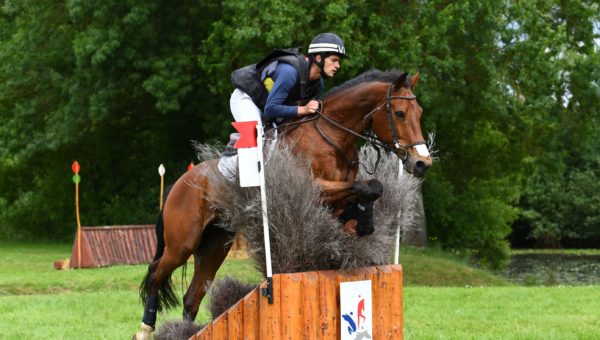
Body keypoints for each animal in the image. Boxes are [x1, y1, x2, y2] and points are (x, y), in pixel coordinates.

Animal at [134, 69, 432, 338]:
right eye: (399, 113)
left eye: (419, 113)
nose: (422, 163)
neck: (332, 135)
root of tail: (181, 182)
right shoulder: (316, 188)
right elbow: (366, 186)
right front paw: (360, 224)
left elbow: (370, 188)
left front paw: (359, 224)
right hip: (183, 242)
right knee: (156, 275)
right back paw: (145, 330)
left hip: (215, 244)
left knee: (192, 296)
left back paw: (185, 331)